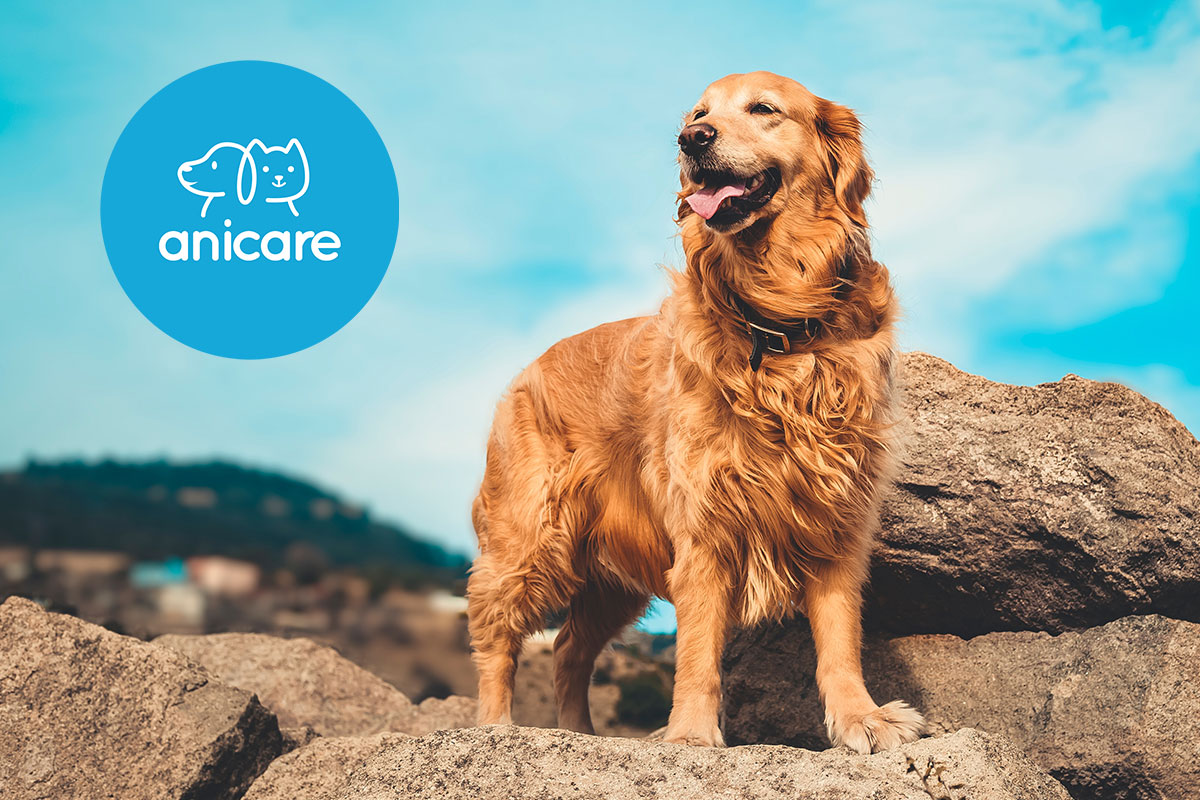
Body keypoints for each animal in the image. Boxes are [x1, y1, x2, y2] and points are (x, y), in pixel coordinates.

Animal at [463, 71, 921, 753]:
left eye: (763, 109)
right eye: (698, 113)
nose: (692, 139)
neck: (777, 323)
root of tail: (528, 368)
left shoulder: (834, 517)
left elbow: (839, 640)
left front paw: (860, 718)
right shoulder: (703, 525)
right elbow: (699, 650)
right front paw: (689, 736)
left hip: (608, 577)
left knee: (570, 648)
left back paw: (583, 734)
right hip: (530, 534)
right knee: (497, 635)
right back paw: (495, 728)